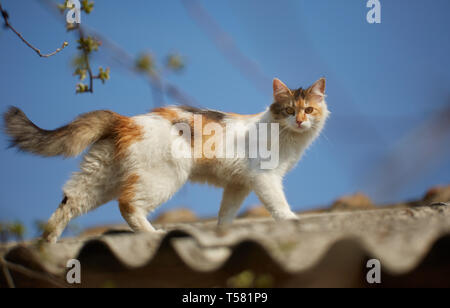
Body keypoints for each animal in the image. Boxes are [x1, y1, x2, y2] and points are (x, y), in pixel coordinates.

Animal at [1, 77, 328, 243]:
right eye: (289, 110)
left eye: (309, 110)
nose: (300, 121)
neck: (287, 136)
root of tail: (128, 120)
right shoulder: (265, 178)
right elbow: (278, 204)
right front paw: (292, 220)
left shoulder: (238, 185)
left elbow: (226, 214)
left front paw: (221, 231)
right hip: (165, 177)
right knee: (127, 205)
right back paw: (152, 233)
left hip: (101, 178)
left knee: (69, 200)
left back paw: (47, 244)